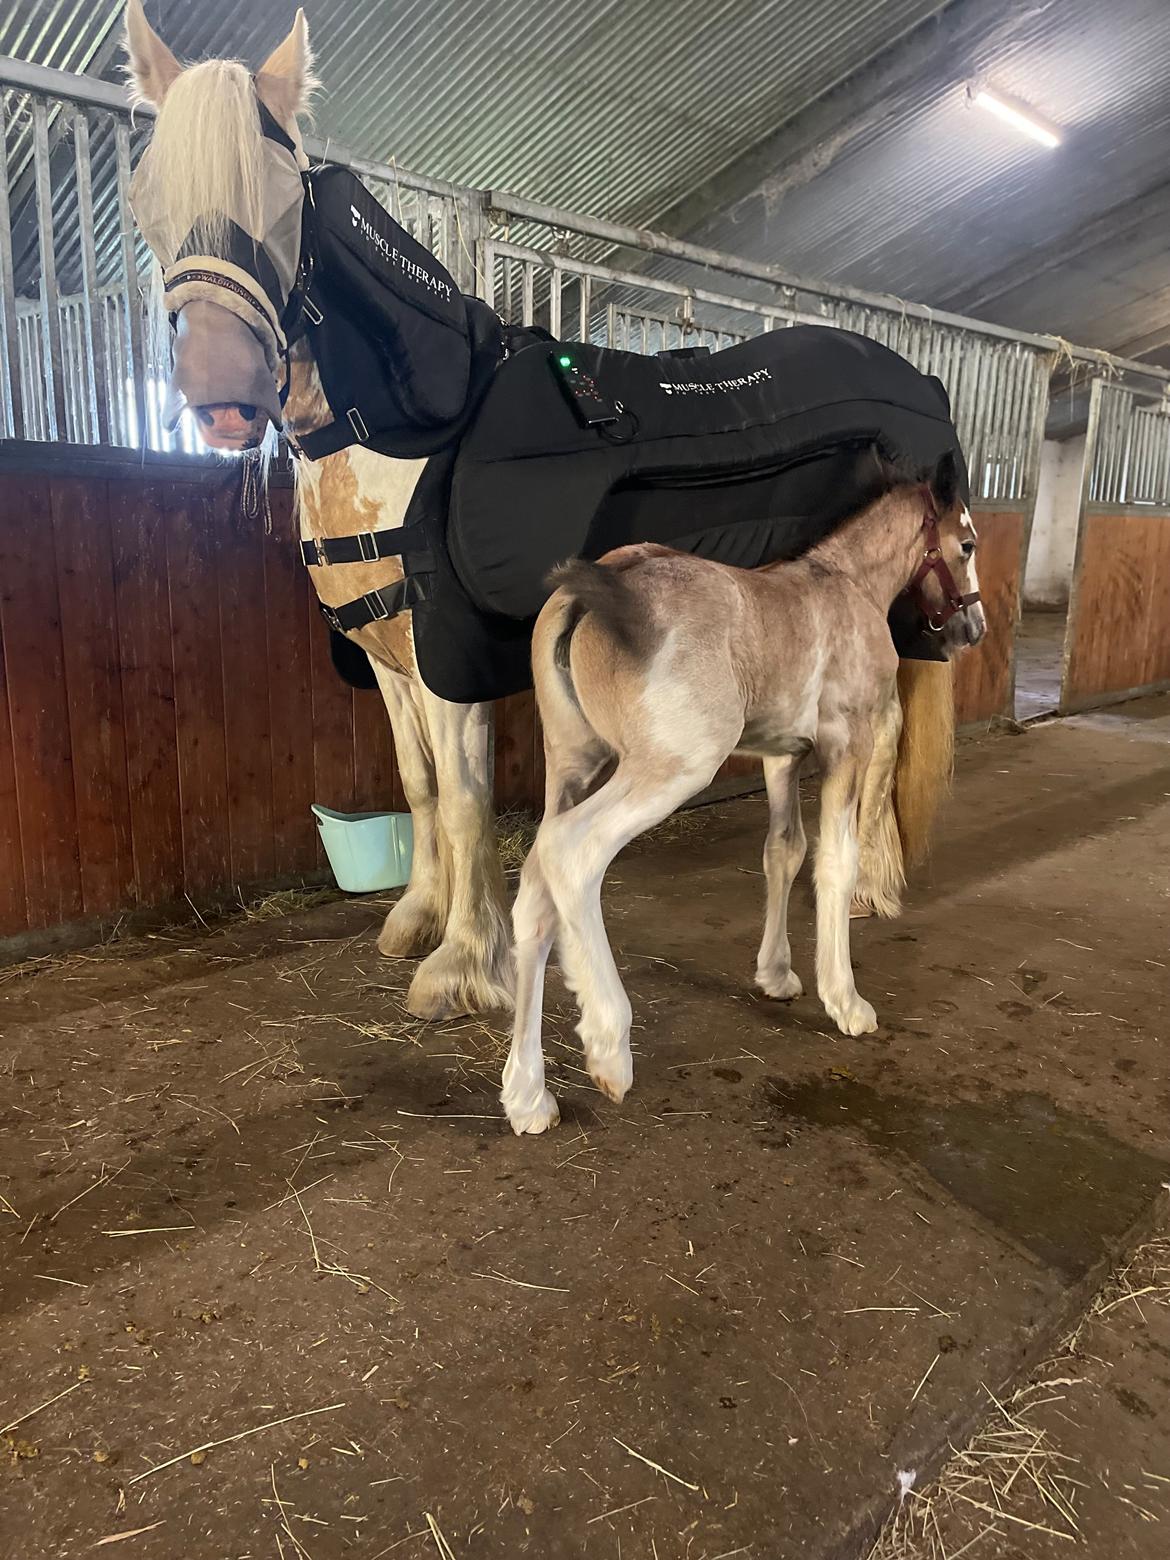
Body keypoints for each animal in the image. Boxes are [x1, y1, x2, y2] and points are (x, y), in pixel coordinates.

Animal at [124, 9, 954, 1023]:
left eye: (283, 198)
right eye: (148, 193)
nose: (222, 399)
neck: (408, 435)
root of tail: (917, 379)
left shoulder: (448, 663)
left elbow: (466, 801)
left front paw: (460, 963)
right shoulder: (390, 662)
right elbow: (421, 788)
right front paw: (416, 919)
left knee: (887, 741)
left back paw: (872, 885)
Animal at [499, 455, 985, 1135]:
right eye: (966, 544)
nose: (974, 627)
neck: (849, 587)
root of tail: (602, 586)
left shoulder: (782, 754)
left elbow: (783, 850)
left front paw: (776, 973)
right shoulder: (847, 744)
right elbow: (835, 862)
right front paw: (846, 1000)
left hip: (570, 763)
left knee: (536, 887)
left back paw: (528, 1095)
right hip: (672, 768)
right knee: (572, 854)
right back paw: (608, 1045)